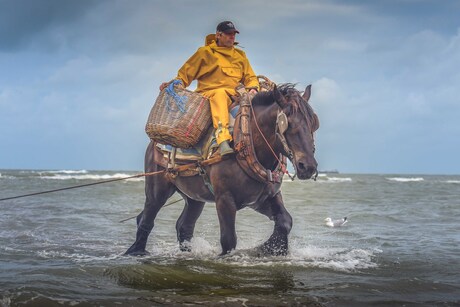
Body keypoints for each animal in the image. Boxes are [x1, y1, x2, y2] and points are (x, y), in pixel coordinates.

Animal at [126, 84, 320, 258]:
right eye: (288, 123)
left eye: (313, 124)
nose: (308, 166)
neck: (247, 142)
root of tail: (154, 143)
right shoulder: (225, 200)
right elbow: (228, 240)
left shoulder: (262, 198)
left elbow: (285, 221)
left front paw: (269, 249)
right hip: (157, 190)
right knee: (146, 220)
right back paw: (136, 252)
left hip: (195, 197)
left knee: (184, 226)